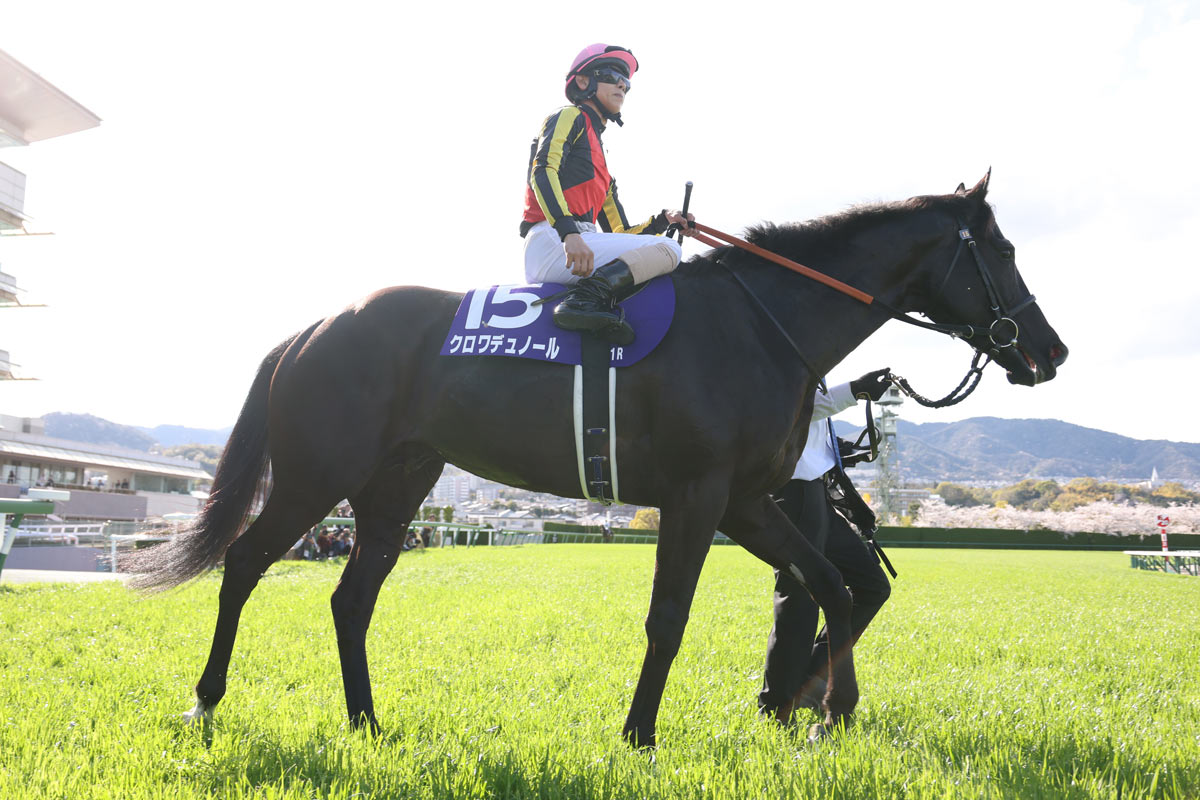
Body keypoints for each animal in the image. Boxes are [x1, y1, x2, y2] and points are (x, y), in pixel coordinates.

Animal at [129, 172, 1067, 748]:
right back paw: (205, 701)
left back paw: (367, 723)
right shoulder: (696, 496)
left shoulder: (744, 501)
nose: (1051, 350)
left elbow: (833, 583)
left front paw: (829, 712)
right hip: (316, 474)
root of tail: (315, 327)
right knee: (245, 562)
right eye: (1006, 251)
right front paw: (640, 736)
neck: (762, 322)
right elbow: (669, 619)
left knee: (350, 599)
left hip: (395, 488)